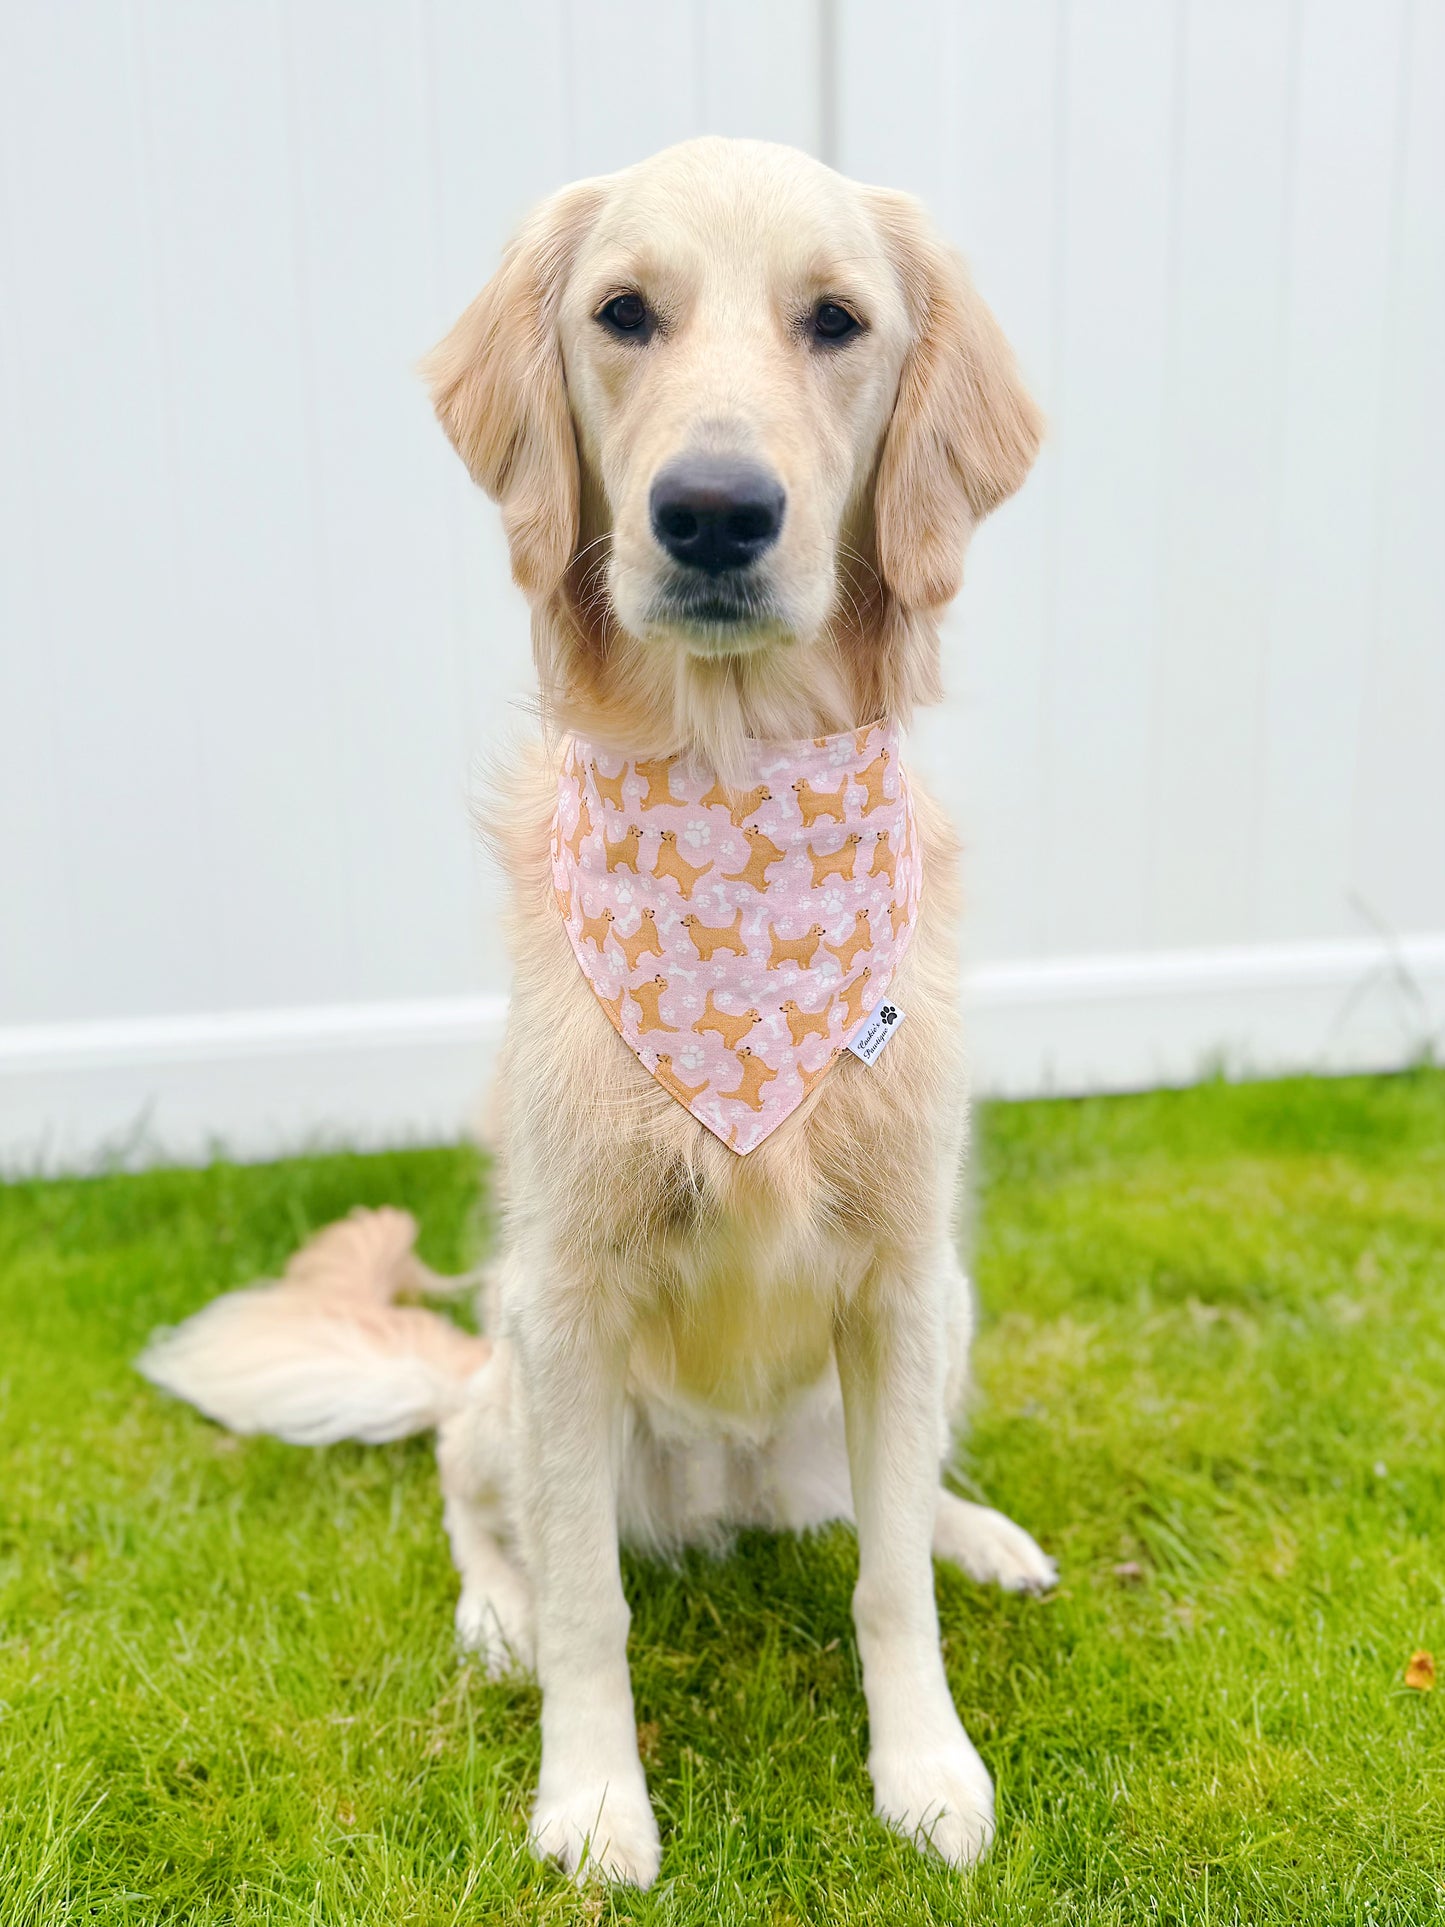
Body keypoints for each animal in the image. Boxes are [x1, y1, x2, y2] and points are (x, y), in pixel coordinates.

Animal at [141, 139, 1055, 1896]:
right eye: (624, 312)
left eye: (837, 321)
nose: (711, 512)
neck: (734, 782)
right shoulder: (564, 1304)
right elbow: (591, 1603)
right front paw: (589, 1798)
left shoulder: (902, 1273)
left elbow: (887, 1578)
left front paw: (925, 1766)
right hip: (505, 1368)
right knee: (461, 1477)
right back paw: (488, 1608)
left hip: (947, 1313)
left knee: (878, 1505)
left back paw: (978, 1530)